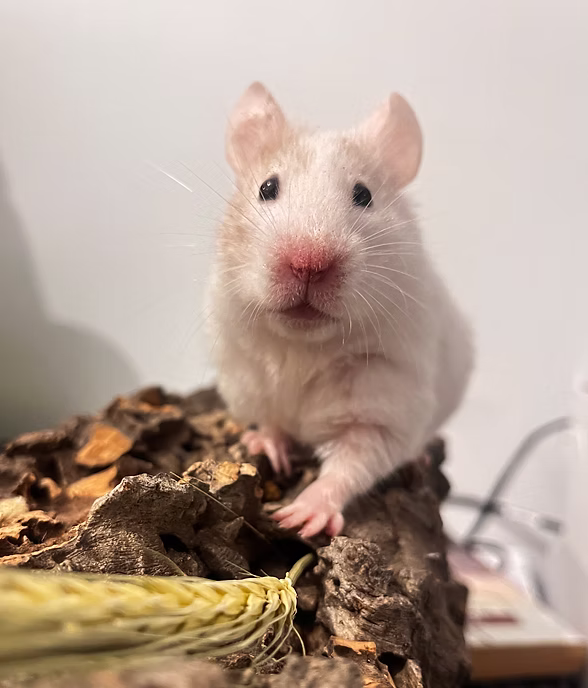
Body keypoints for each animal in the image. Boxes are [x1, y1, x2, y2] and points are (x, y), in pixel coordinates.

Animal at [207, 82, 473, 538]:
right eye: (267, 187)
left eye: (363, 195)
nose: (308, 263)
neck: (303, 347)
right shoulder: (248, 377)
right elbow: (272, 421)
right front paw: (268, 448)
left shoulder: (382, 410)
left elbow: (349, 466)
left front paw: (298, 518)